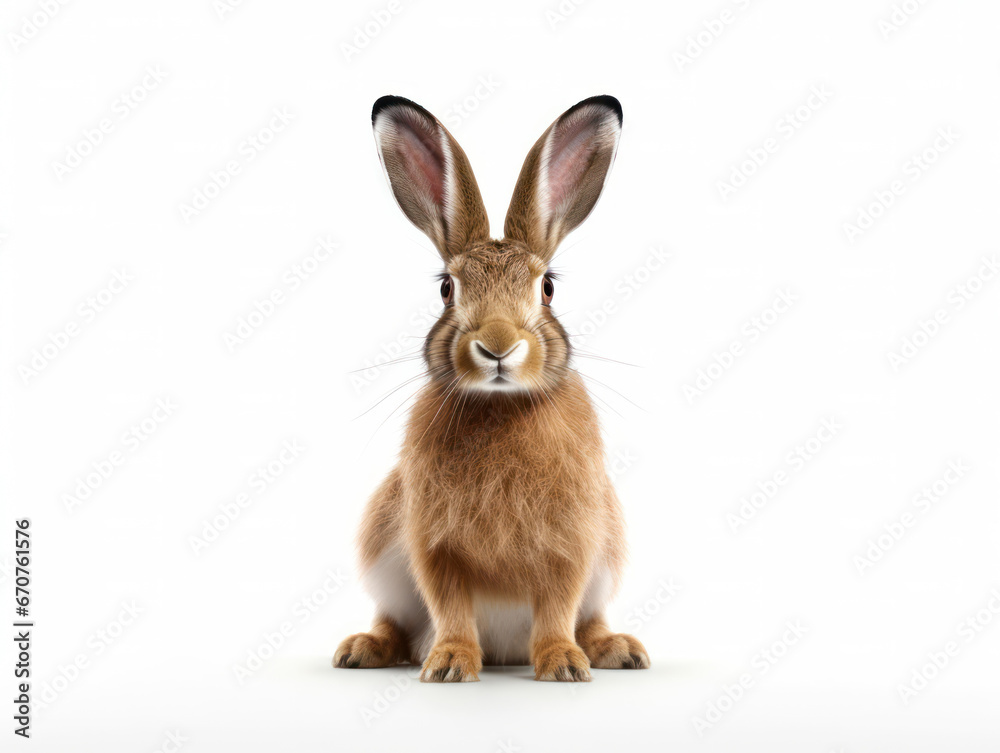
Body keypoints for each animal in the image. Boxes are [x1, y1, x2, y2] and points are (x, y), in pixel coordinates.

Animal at [334, 94, 649, 682]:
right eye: (446, 289)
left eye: (547, 288)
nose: (498, 345)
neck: (501, 407)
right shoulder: (434, 544)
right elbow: (450, 603)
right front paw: (450, 664)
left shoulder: (572, 543)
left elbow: (558, 605)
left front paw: (562, 665)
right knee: (394, 619)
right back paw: (363, 649)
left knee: (590, 617)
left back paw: (616, 650)